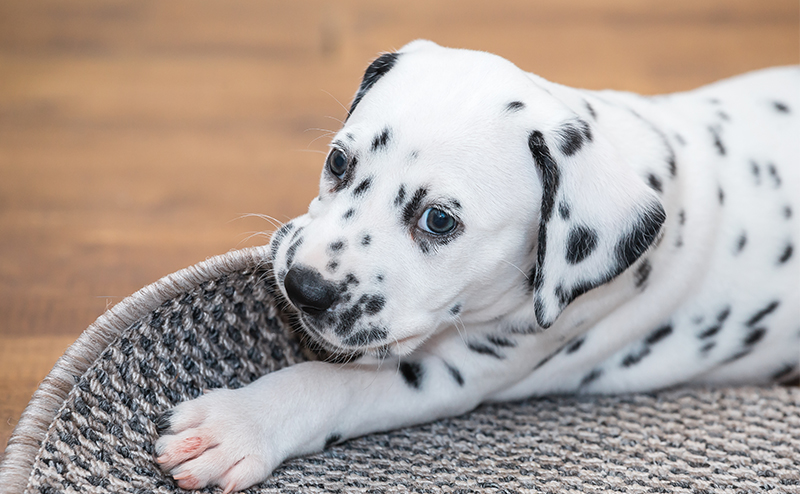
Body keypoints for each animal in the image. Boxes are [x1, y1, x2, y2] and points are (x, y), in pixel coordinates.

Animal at [153, 40, 796, 492]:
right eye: (338, 161)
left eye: (438, 220)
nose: (302, 285)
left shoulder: (455, 374)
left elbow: (331, 383)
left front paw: (238, 424)